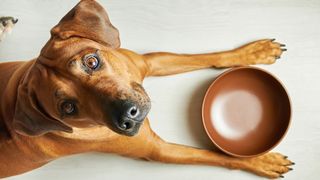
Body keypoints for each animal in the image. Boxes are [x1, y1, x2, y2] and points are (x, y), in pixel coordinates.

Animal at [0, 0, 292, 179]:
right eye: (68, 108)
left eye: (91, 61)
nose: (126, 116)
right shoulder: (158, 151)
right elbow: (215, 156)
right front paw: (261, 162)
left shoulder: (145, 62)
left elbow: (204, 57)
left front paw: (254, 52)